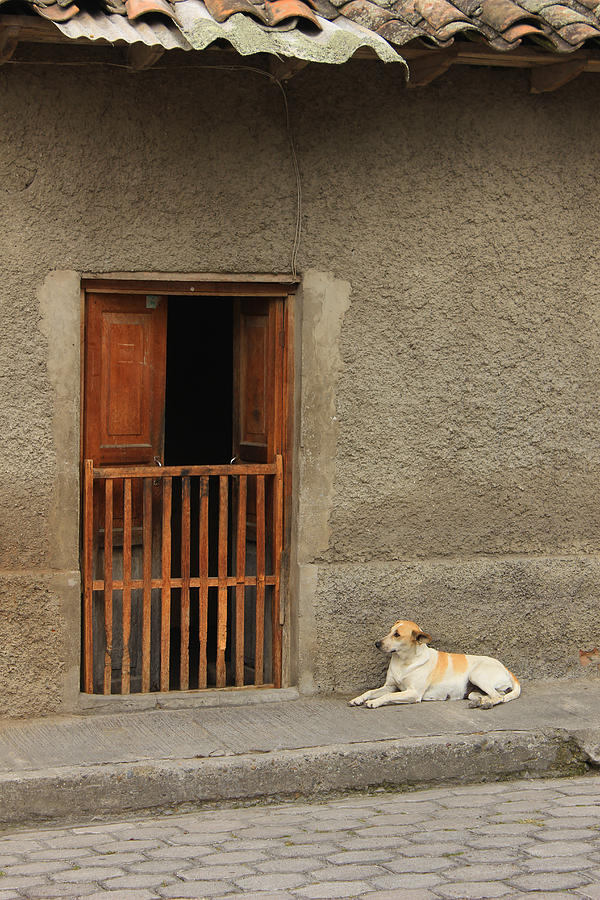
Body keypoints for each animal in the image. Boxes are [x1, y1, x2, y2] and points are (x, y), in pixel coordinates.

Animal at [350, 620, 516, 712]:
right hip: (473, 691)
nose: (376, 644)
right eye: (389, 631)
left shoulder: (413, 693)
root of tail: (506, 669)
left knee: (498, 697)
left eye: (397, 635)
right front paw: (358, 699)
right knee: (497, 695)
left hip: (477, 675)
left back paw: (486, 704)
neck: (404, 661)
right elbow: (370, 691)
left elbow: (388, 696)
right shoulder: (390, 686)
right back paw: (480, 702)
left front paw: (374, 702)